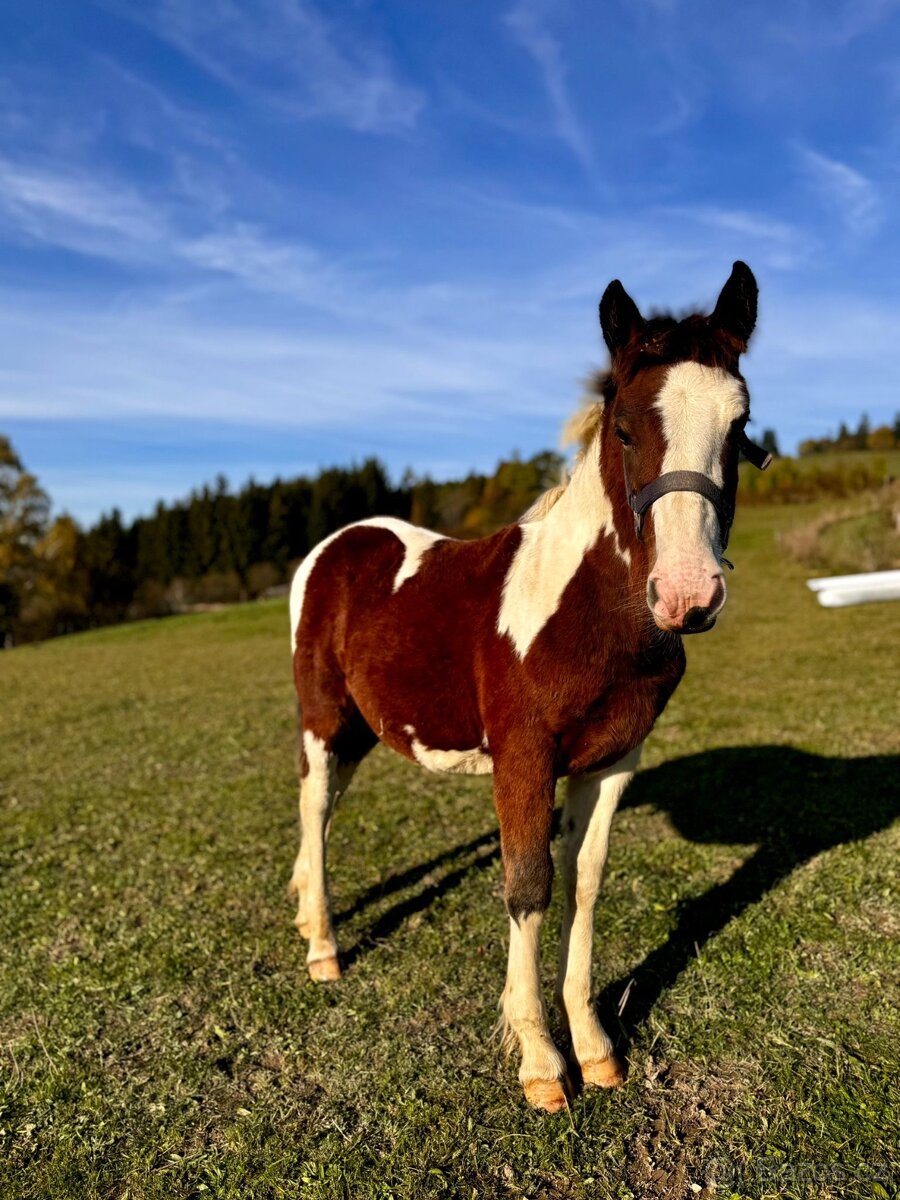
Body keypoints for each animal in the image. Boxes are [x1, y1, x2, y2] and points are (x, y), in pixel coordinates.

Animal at [286, 265, 768, 1113]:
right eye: (624, 431)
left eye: (739, 428)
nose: (687, 595)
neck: (583, 612)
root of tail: (335, 547)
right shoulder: (524, 758)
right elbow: (528, 885)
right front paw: (542, 1061)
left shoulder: (611, 763)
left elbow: (584, 881)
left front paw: (596, 1048)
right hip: (323, 718)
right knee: (316, 808)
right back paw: (323, 948)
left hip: (364, 730)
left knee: (328, 805)